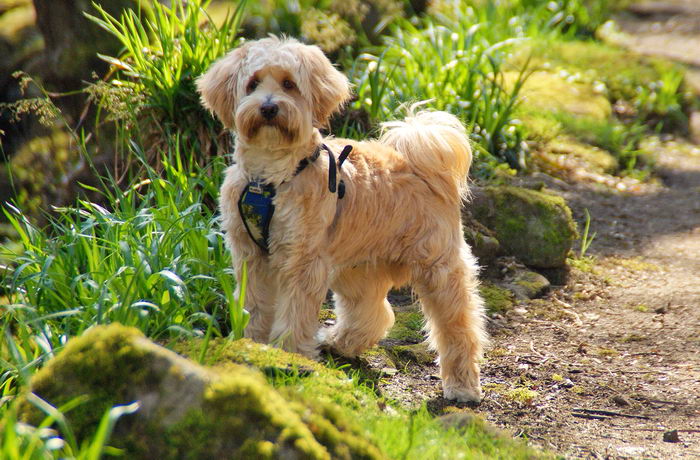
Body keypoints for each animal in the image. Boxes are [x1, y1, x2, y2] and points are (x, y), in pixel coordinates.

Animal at [197, 36, 486, 402]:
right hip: (356, 268)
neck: (272, 177)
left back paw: (462, 384)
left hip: (438, 269)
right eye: (252, 84)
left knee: (459, 327)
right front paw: (252, 344)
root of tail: (421, 165)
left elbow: (294, 313)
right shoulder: (251, 256)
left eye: (289, 84)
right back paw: (340, 343)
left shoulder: (301, 261)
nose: (268, 108)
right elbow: (256, 305)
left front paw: (289, 354)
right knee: (374, 313)